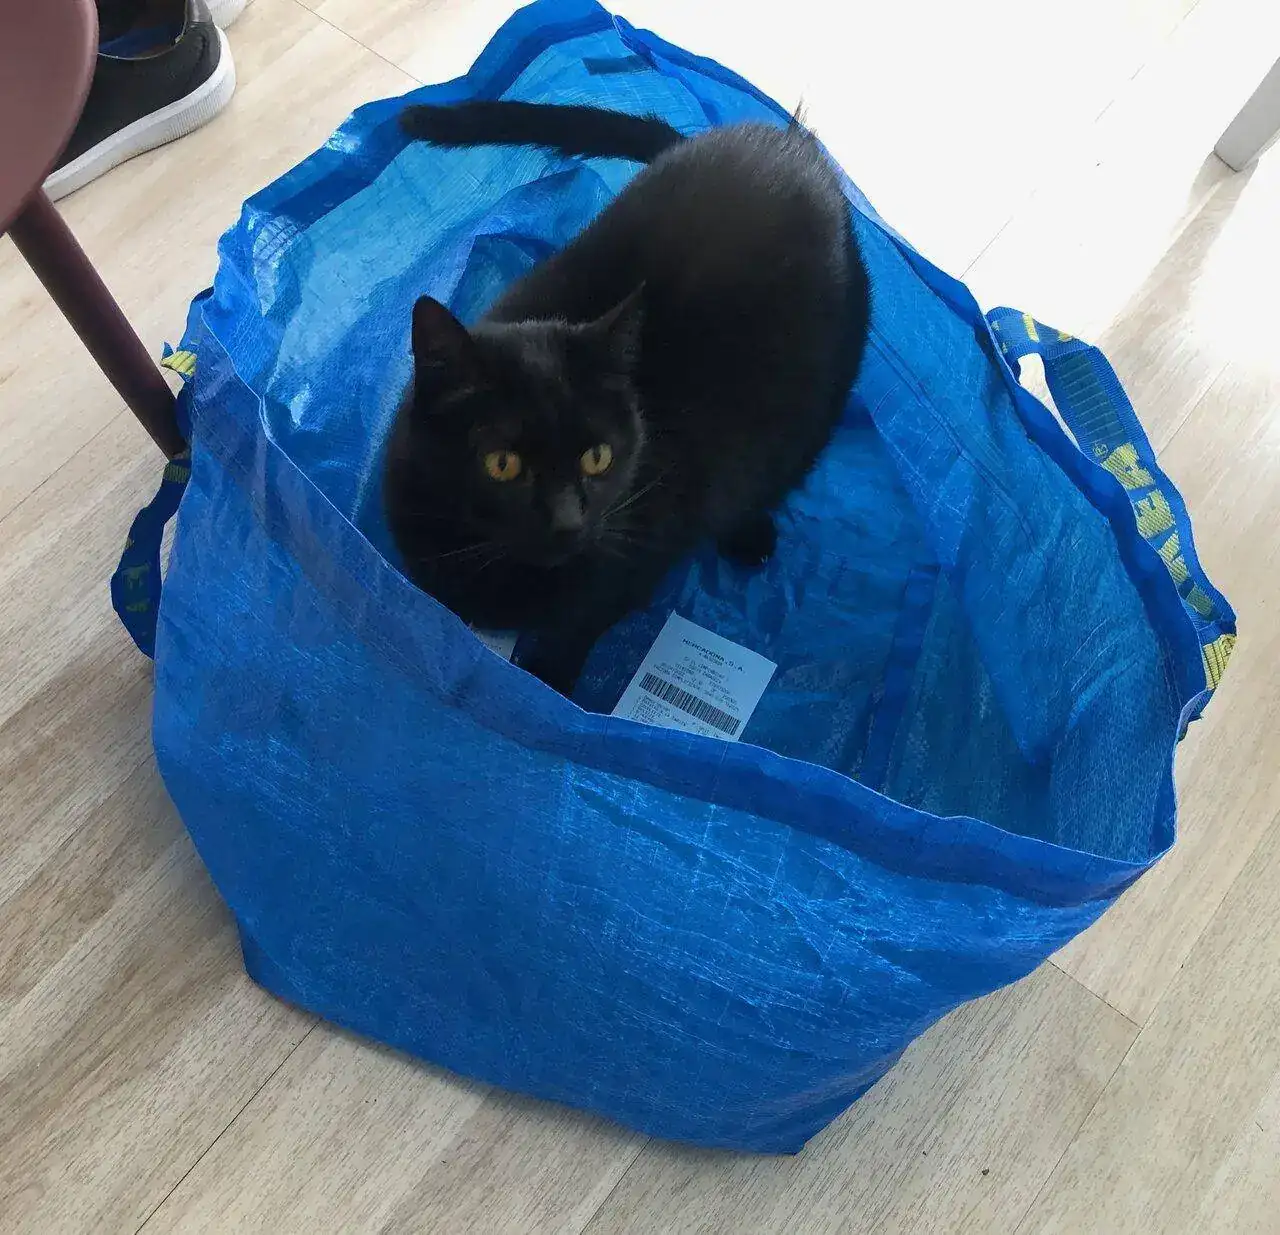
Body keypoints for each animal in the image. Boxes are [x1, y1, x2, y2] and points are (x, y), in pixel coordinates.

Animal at [385, 101, 871, 696]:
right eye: (502, 463)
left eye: (598, 457)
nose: (568, 522)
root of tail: (789, 142)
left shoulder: (636, 557)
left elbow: (578, 628)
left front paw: (547, 686)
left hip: (823, 392)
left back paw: (750, 533)